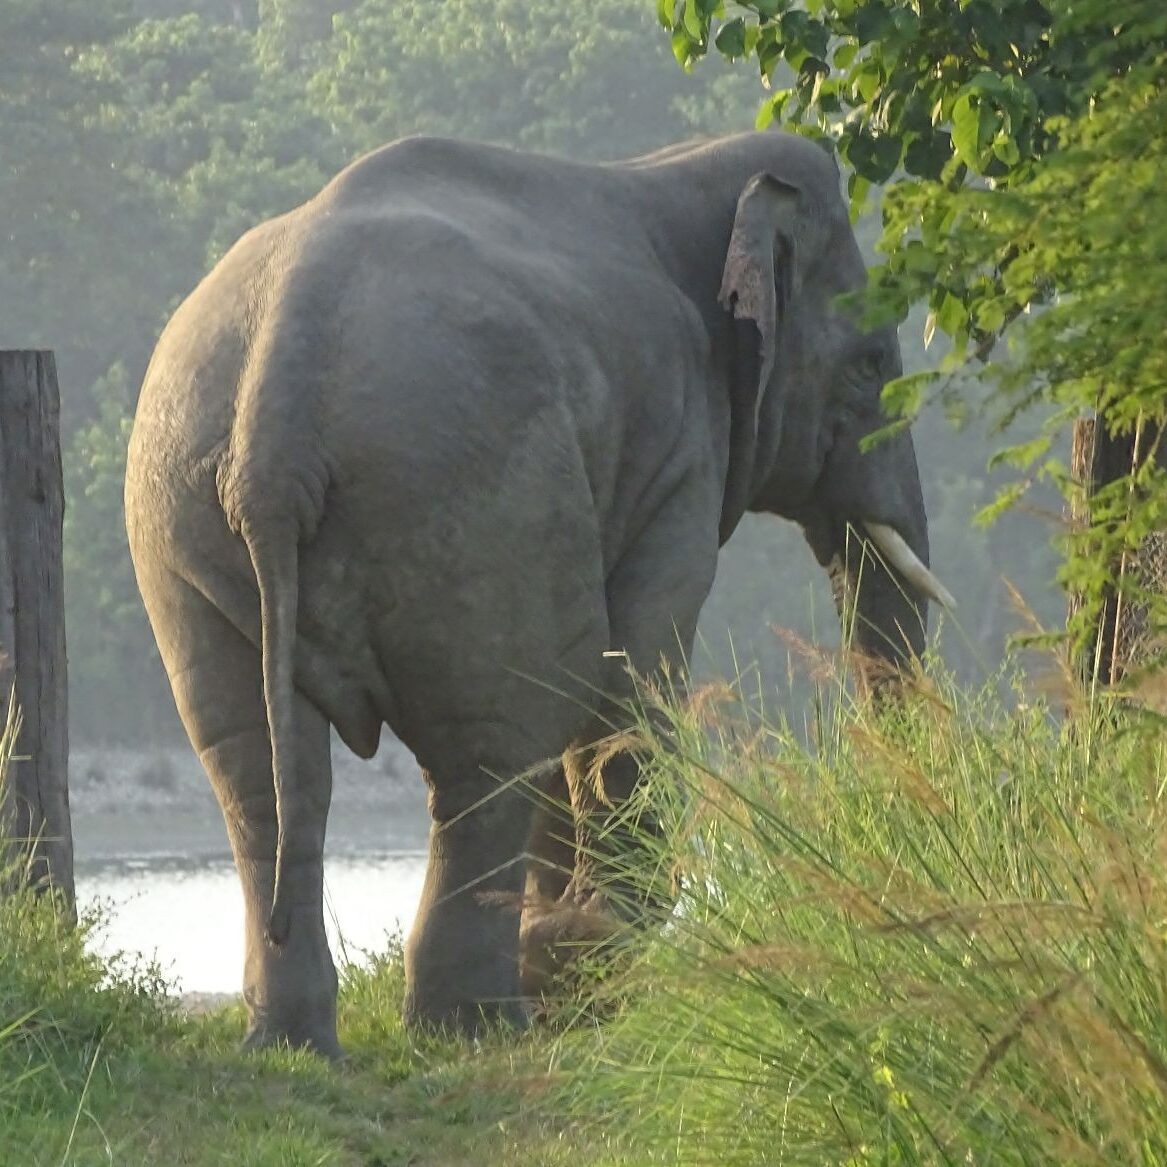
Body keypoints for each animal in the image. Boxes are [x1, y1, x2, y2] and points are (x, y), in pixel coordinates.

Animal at [124, 129, 952, 1057]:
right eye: (871, 364)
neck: (681, 172)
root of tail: (277, 409)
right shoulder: (677, 453)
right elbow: (632, 658)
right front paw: (583, 953)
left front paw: (575, 952)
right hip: (477, 501)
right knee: (491, 745)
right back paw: (481, 1026)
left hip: (185, 526)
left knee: (259, 767)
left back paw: (300, 1043)